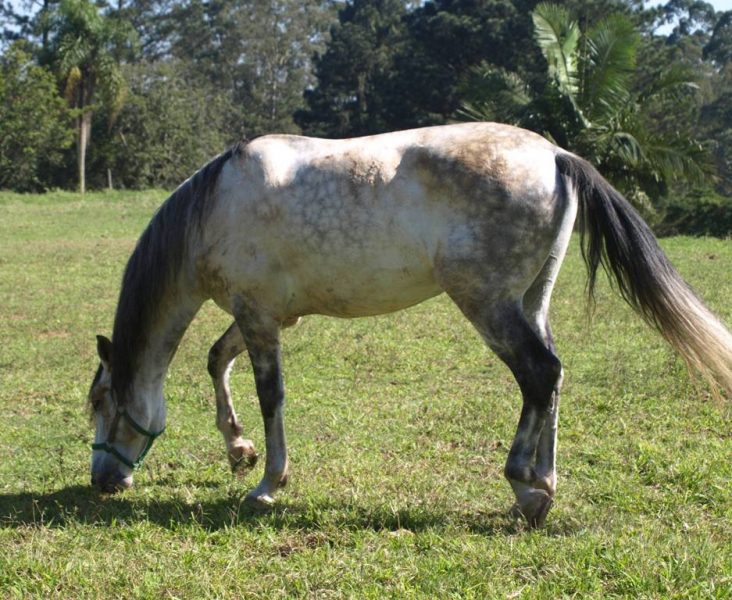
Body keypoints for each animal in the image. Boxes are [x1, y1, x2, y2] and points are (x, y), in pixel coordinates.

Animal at [88, 122, 732, 528]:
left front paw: (268, 483)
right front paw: (238, 449)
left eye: (101, 402)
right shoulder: (264, 315)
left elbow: (270, 396)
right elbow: (217, 360)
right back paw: (542, 484)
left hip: (487, 304)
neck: (216, 207)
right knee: (553, 378)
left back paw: (526, 486)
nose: (102, 482)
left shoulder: (259, 317)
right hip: (531, 301)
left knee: (539, 374)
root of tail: (555, 156)